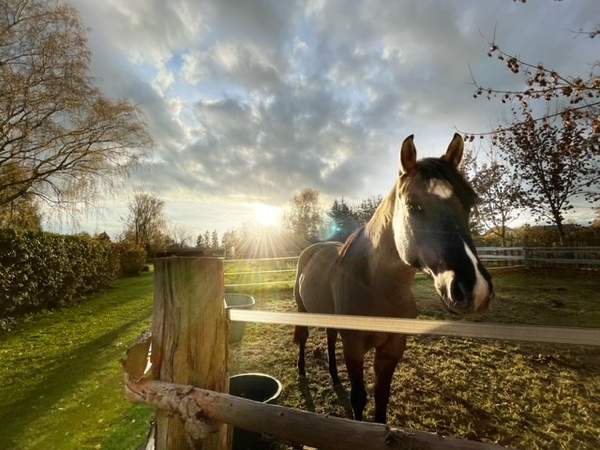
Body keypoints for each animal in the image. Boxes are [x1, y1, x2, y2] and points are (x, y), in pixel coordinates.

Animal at [292, 133, 494, 422]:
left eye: (469, 204)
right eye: (413, 205)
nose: (474, 288)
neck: (376, 284)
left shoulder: (392, 348)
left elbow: (381, 399)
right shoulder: (354, 346)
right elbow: (359, 399)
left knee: (330, 338)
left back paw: (334, 375)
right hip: (302, 311)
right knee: (304, 339)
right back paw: (301, 371)